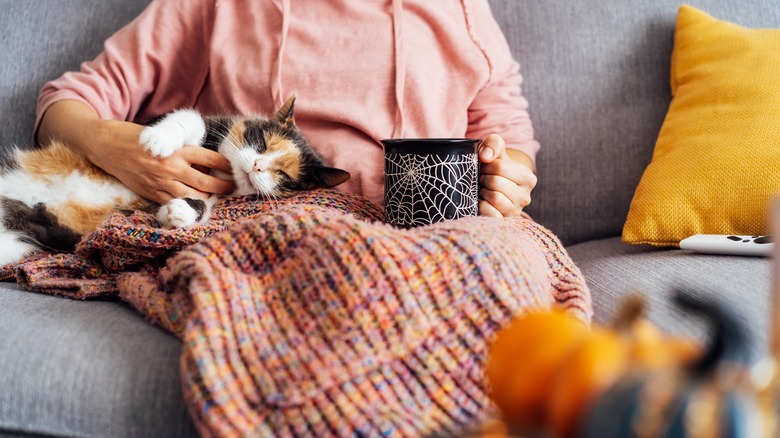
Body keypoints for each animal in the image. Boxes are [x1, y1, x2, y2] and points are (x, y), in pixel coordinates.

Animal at [0, 96, 350, 266]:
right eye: (262, 142)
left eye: (284, 175)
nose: (256, 166)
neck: (223, 172)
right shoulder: (188, 122)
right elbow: (191, 119)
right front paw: (158, 140)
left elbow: (203, 206)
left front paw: (179, 212)